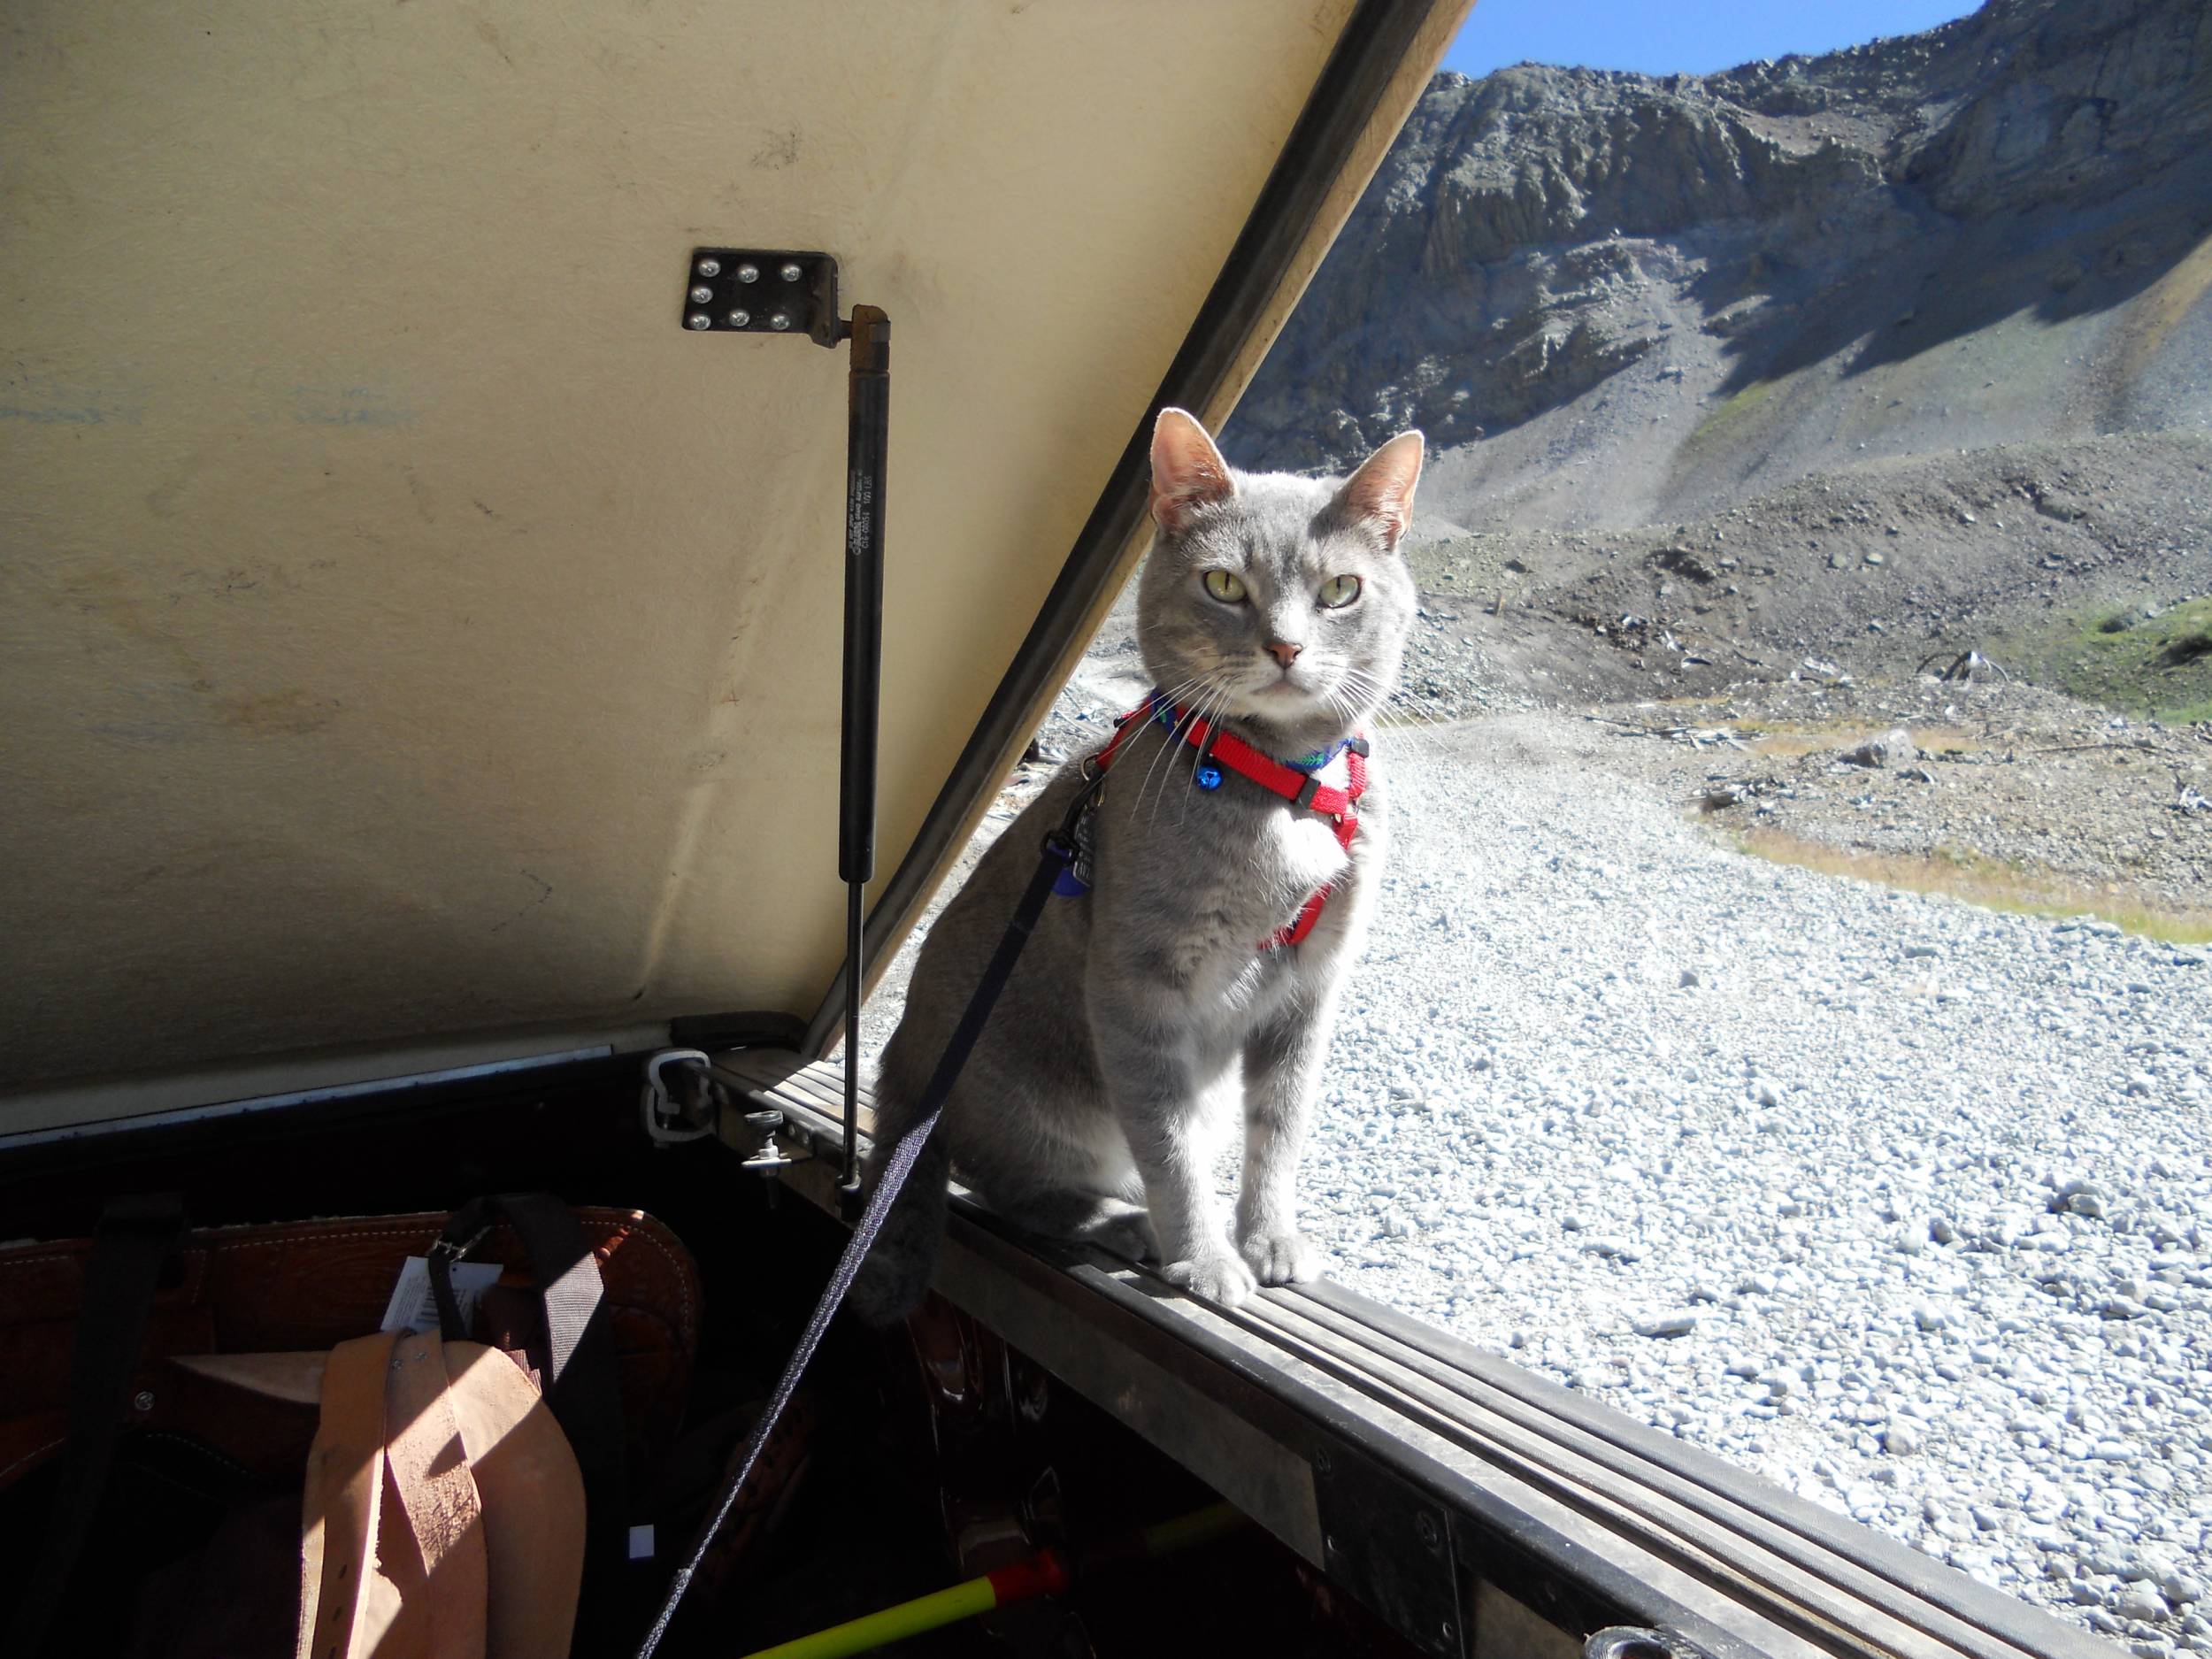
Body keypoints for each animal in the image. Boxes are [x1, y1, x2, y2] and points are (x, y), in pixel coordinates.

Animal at [854, 409, 1425, 1318]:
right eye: (1224, 584)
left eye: (1341, 589)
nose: (1287, 647)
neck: (1283, 788)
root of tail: (900, 1068)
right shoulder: (1137, 986)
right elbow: (1169, 1140)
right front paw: (1205, 1257)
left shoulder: (1309, 989)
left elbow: (1280, 1125)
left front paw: (1269, 1237)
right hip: (1038, 1100)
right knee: (1015, 1190)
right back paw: (1125, 1222)